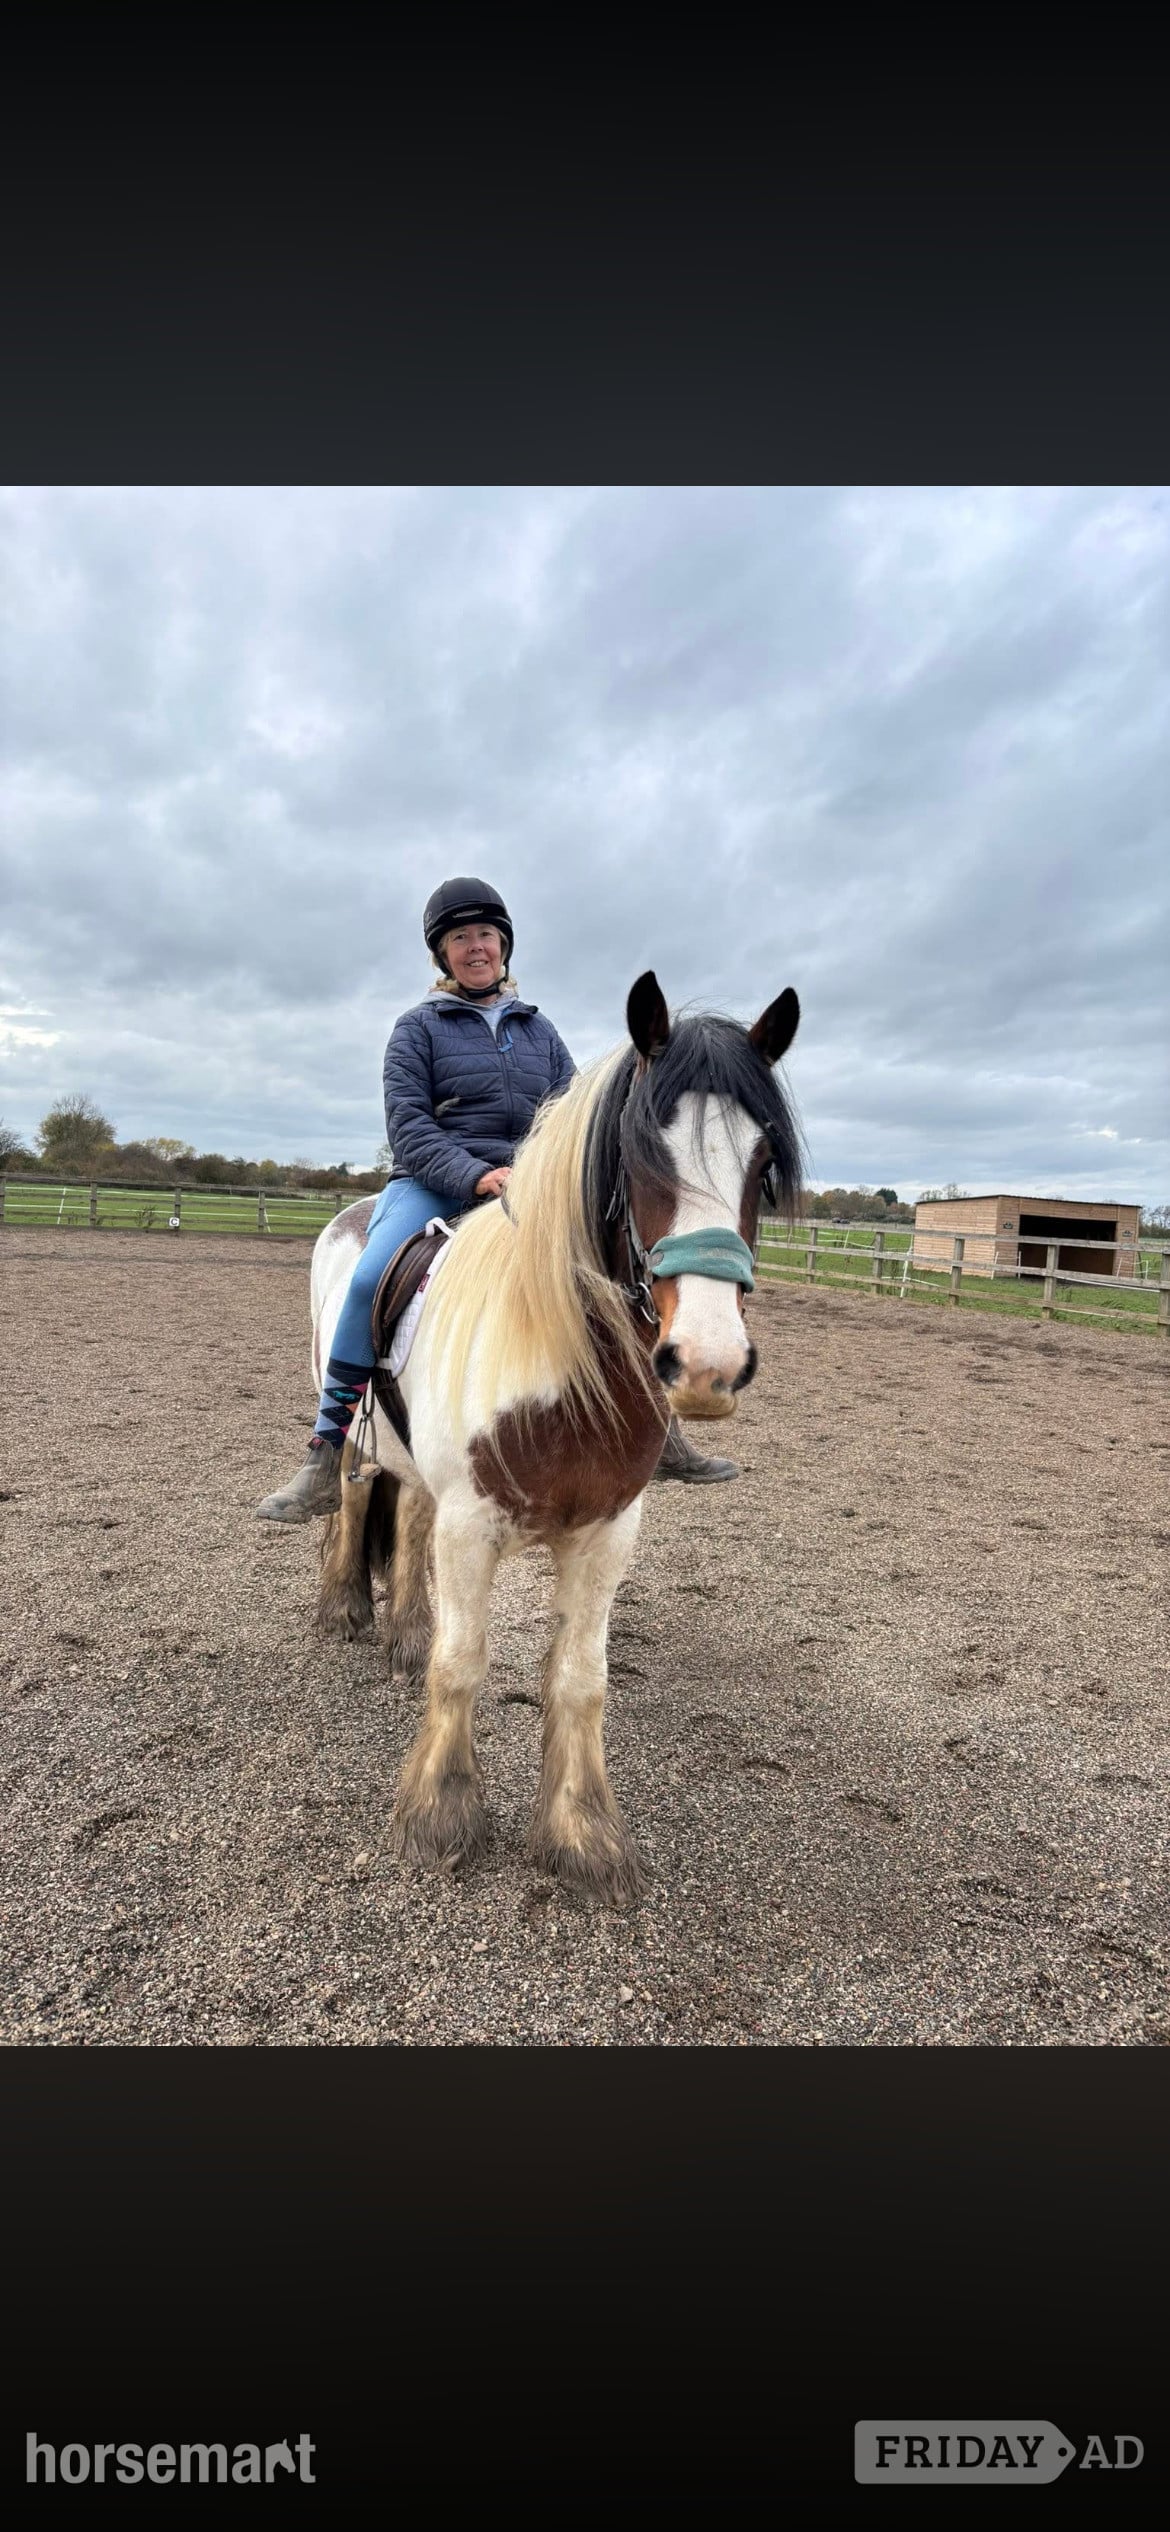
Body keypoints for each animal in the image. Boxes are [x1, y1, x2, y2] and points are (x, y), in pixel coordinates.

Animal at [310, 970, 802, 1905]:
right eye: (640, 1155)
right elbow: (464, 1663)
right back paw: (346, 1609)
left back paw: (402, 1635)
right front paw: (439, 1817)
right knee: (353, 1496)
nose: (708, 1366)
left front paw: (581, 1835)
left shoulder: (607, 1531)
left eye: (762, 1163)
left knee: (409, 1517)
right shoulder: (474, 1525)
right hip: (355, 1429)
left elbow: (580, 1681)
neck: (560, 1364)